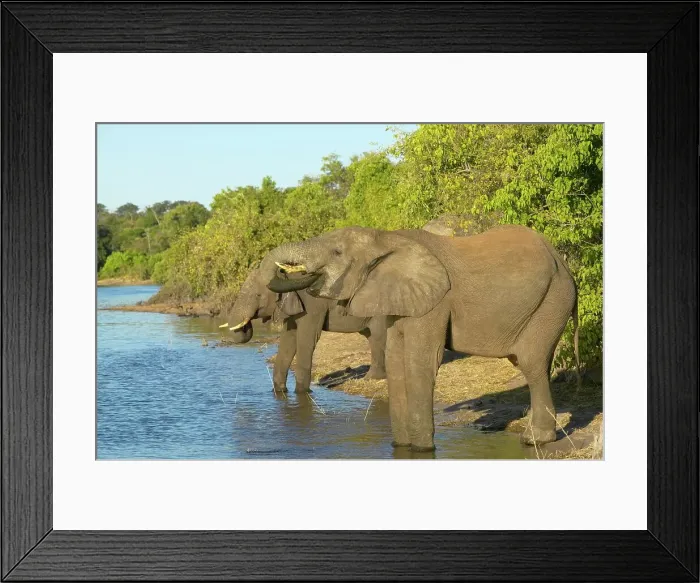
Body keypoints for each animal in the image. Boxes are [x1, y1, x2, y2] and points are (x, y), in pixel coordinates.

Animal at [220, 265, 388, 393]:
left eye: (258, 295)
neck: (287, 277)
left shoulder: (312, 307)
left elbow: (306, 340)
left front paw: (302, 393)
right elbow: (287, 342)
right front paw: (279, 392)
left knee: (378, 336)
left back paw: (373, 378)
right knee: (373, 337)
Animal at [260, 224, 580, 451]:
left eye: (337, 253)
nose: (283, 272)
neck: (386, 239)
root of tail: (564, 263)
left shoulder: (435, 302)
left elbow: (420, 361)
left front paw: (423, 449)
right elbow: (396, 360)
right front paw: (401, 446)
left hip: (553, 300)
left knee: (532, 363)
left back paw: (535, 440)